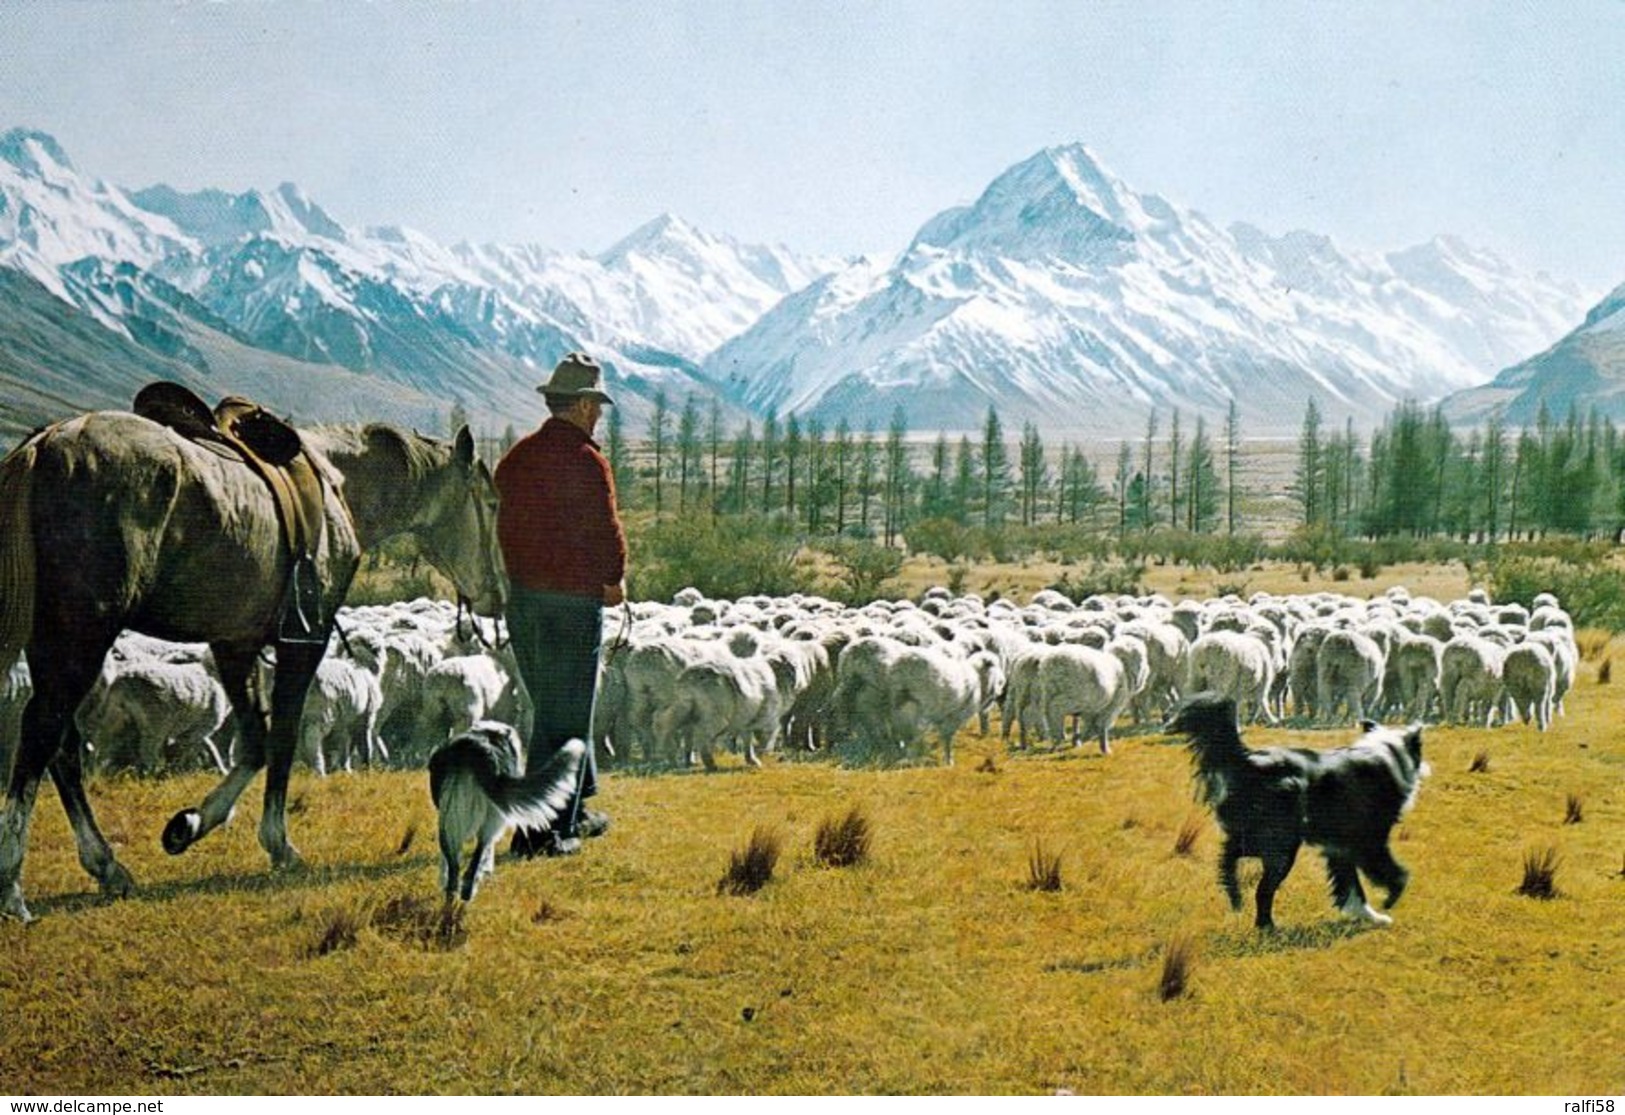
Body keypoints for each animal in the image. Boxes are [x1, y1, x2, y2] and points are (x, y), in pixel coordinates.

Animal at [0, 406, 503, 923]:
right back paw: (13, 886)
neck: (342, 485)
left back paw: (106, 865)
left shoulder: (234, 645)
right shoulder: (305, 638)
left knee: (62, 746)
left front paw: (191, 824)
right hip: (85, 633)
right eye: (491, 502)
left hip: (53, 642)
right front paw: (278, 843)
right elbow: (281, 738)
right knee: (41, 733)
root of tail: (45, 444)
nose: (497, 591)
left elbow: (256, 741)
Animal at [425, 724, 585, 910]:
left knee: (458, 867)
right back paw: (464, 894)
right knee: (476, 855)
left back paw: (452, 901)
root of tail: (476, 747)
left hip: (463, 819)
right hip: (489, 817)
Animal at [1170, 695, 1423, 929]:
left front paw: (1367, 915)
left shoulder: (1340, 848)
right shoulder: (1369, 840)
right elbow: (1395, 873)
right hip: (1281, 845)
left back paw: (1234, 896)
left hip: (1259, 837)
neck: (1387, 753)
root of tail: (1248, 760)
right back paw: (1267, 926)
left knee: (1229, 856)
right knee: (1262, 889)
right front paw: (1388, 902)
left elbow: (1349, 884)